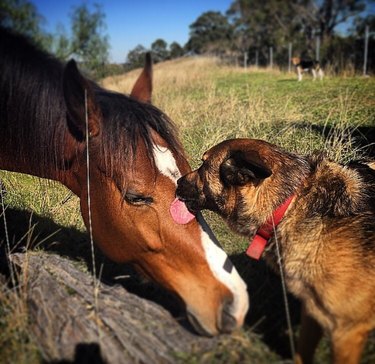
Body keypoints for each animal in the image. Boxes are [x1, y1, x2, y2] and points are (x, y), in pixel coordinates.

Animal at [177, 139, 375, 364]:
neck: (290, 205)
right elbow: (302, 353)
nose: (177, 182)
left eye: (203, 165)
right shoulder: (312, 313)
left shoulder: (347, 332)